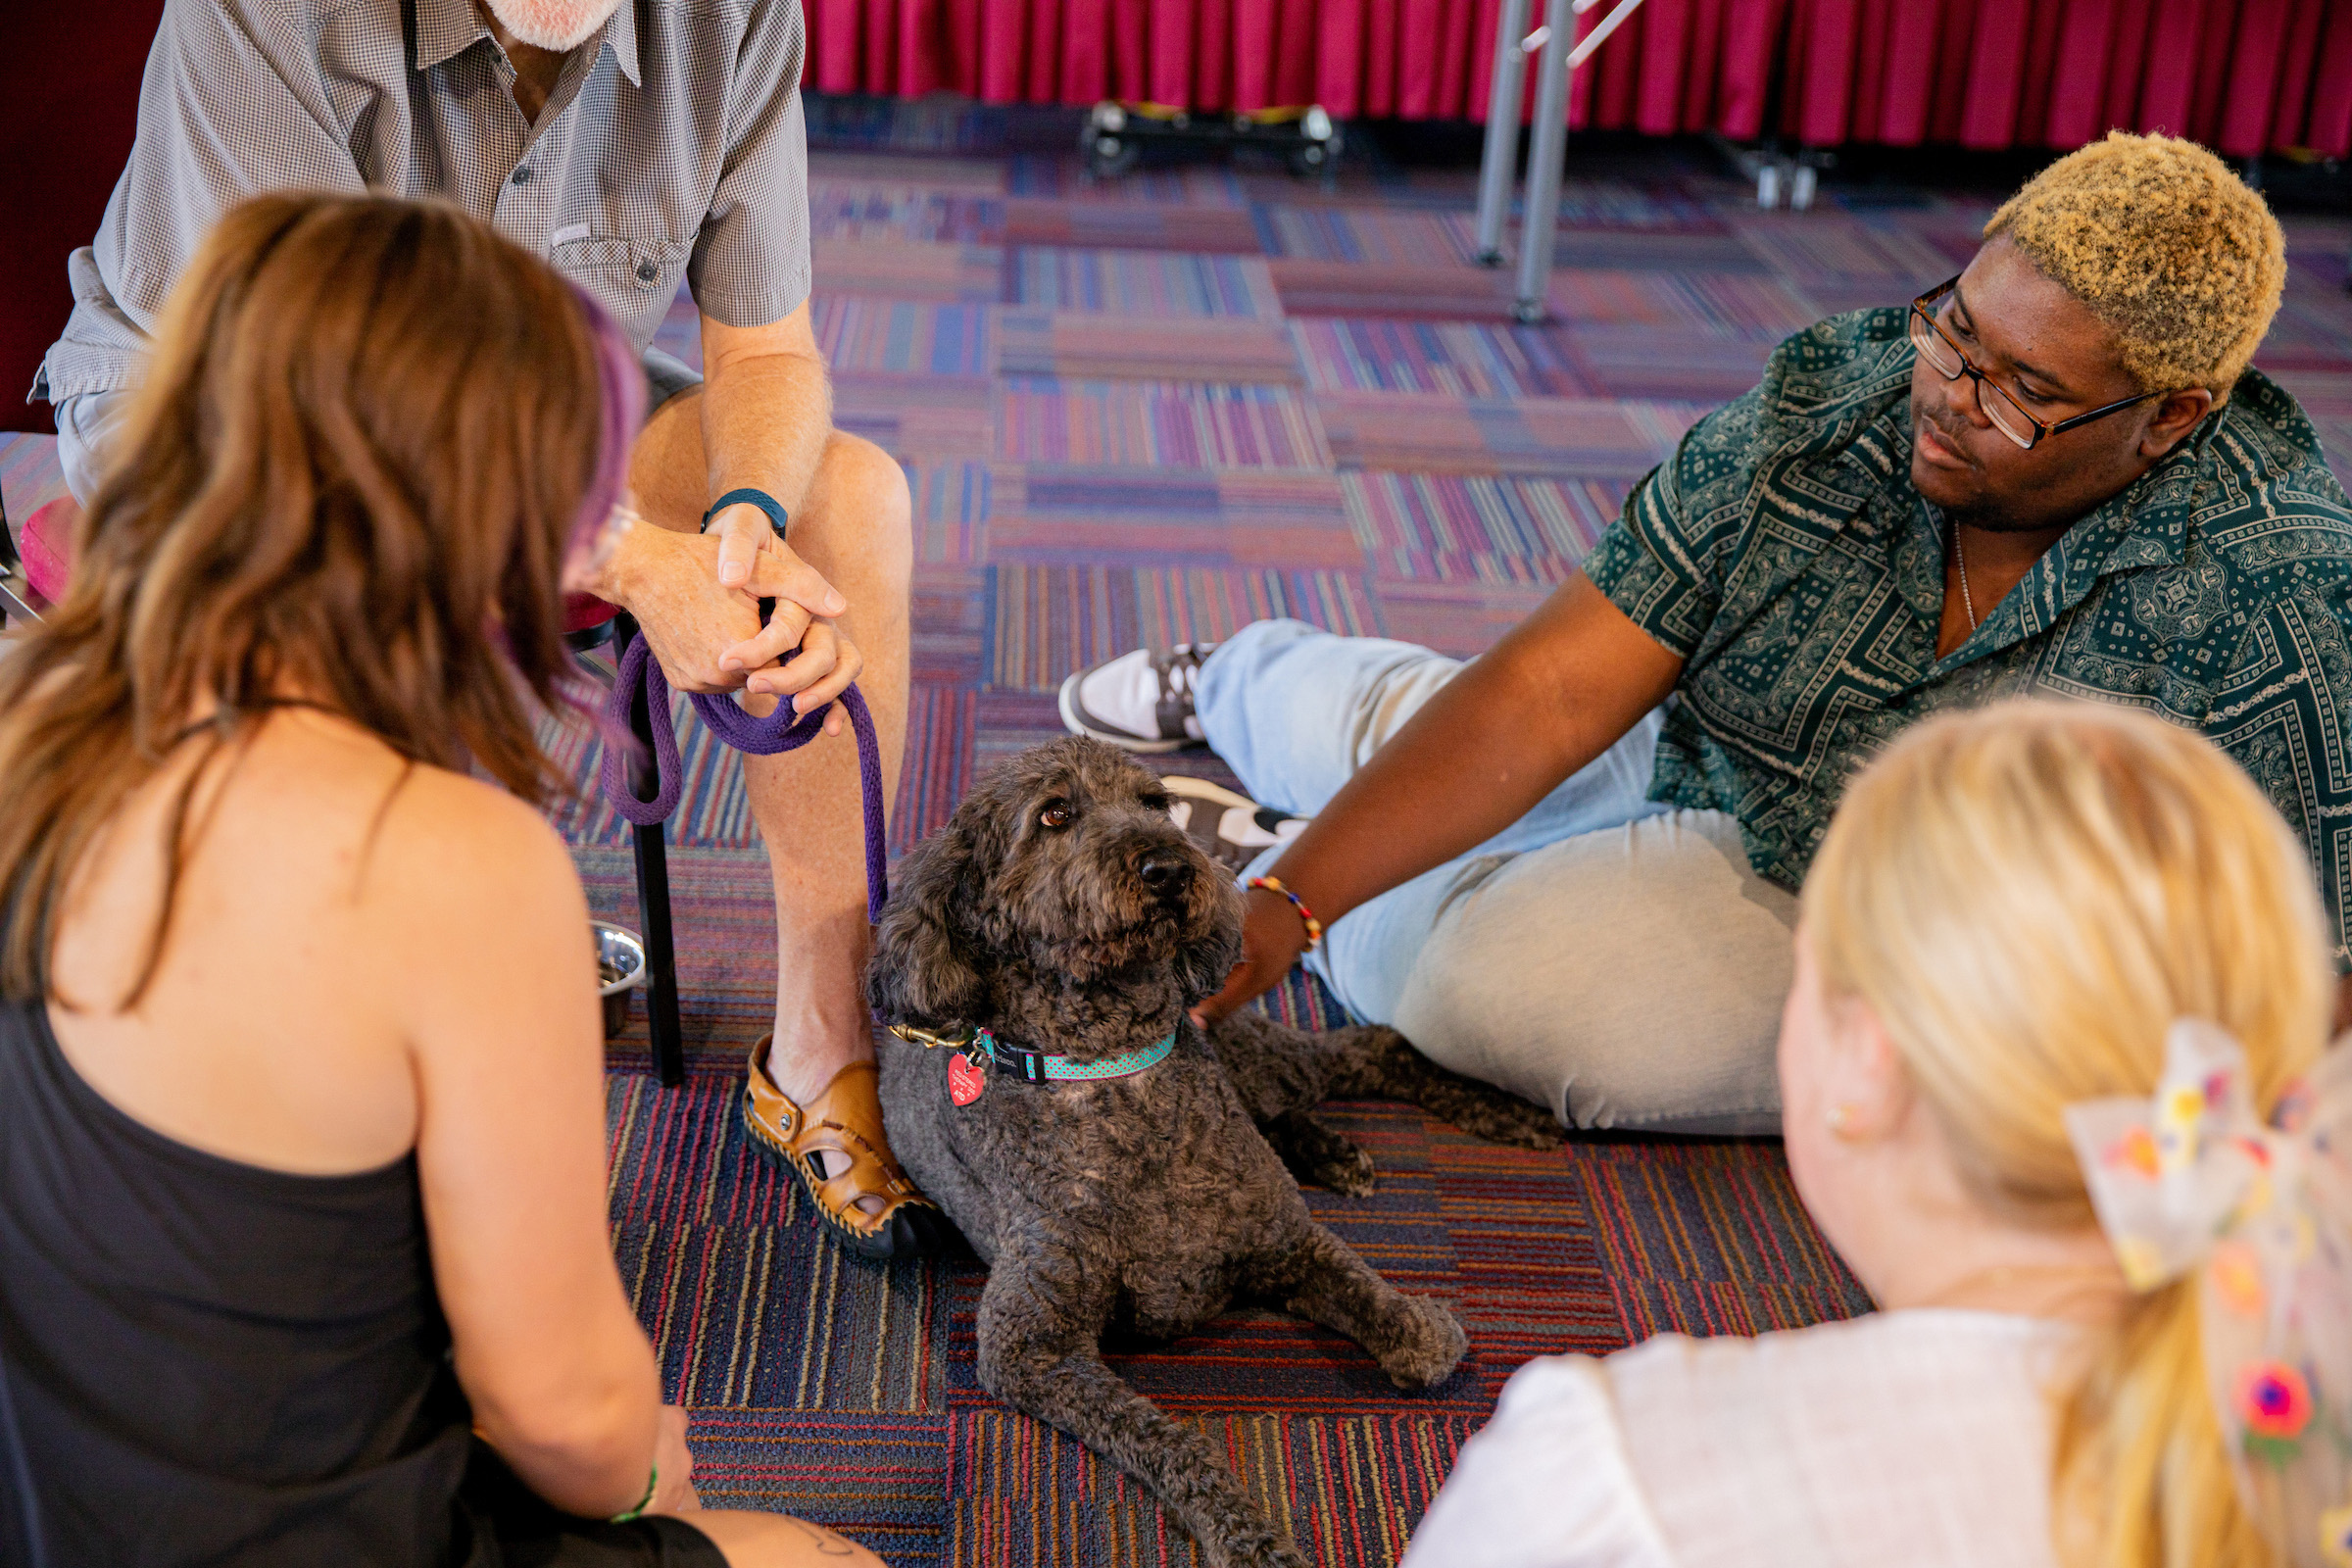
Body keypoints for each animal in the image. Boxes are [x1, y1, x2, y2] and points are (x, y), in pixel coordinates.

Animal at [865, 738, 1561, 1568]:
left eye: (1155, 803)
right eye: (1054, 814)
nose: (1169, 866)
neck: (1116, 1074)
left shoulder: (1285, 1241)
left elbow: (1368, 1293)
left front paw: (1417, 1331)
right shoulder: (1028, 1345)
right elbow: (1170, 1441)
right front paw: (1248, 1532)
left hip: (1254, 1053)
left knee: (1373, 1046)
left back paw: (1496, 1113)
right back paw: (1329, 1148)